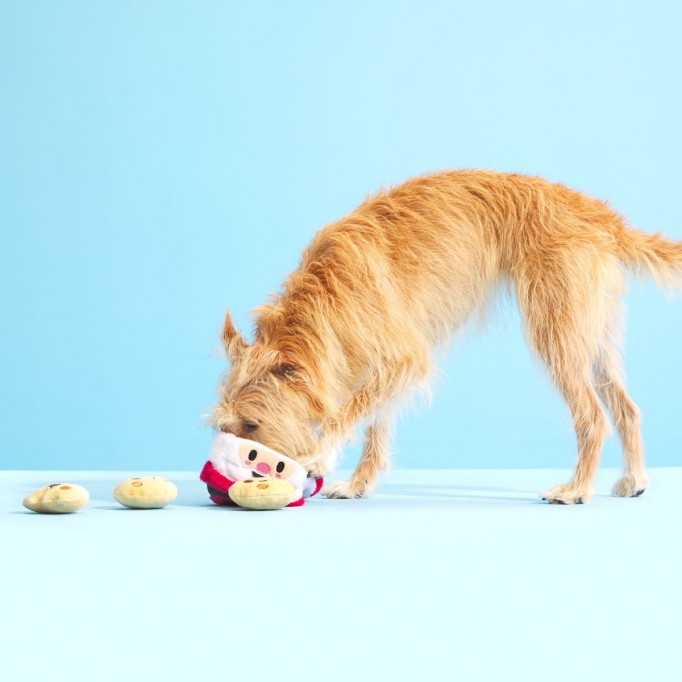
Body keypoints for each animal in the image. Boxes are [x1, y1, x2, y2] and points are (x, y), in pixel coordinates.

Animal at [212, 168, 680, 502]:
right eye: (226, 428)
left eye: (252, 425)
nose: (237, 478)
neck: (323, 295)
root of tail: (595, 213)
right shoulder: (379, 366)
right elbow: (375, 420)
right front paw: (360, 483)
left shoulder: (404, 360)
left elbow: (349, 412)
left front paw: (322, 456)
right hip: (592, 339)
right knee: (627, 408)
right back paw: (634, 480)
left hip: (557, 337)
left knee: (593, 416)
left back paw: (577, 490)